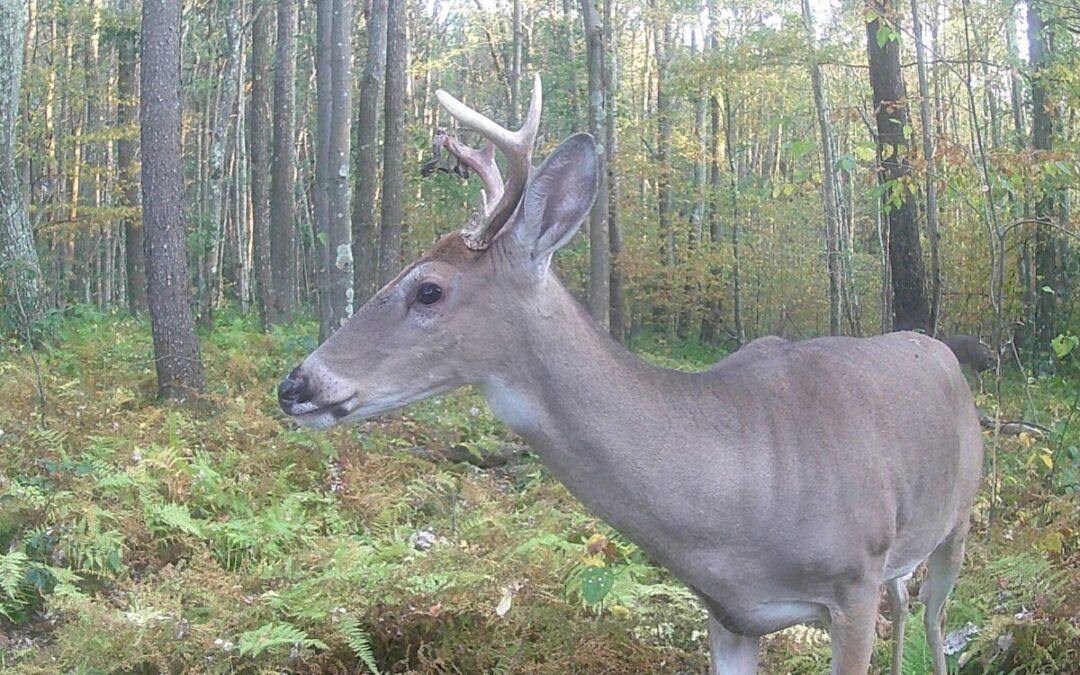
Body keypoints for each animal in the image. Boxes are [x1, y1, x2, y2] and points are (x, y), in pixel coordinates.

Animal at [278, 76, 984, 675]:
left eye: (428, 290)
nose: (296, 385)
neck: (746, 495)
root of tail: (943, 351)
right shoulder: (730, 615)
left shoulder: (852, 584)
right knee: (907, 602)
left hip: (957, 518)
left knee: (934, 617)